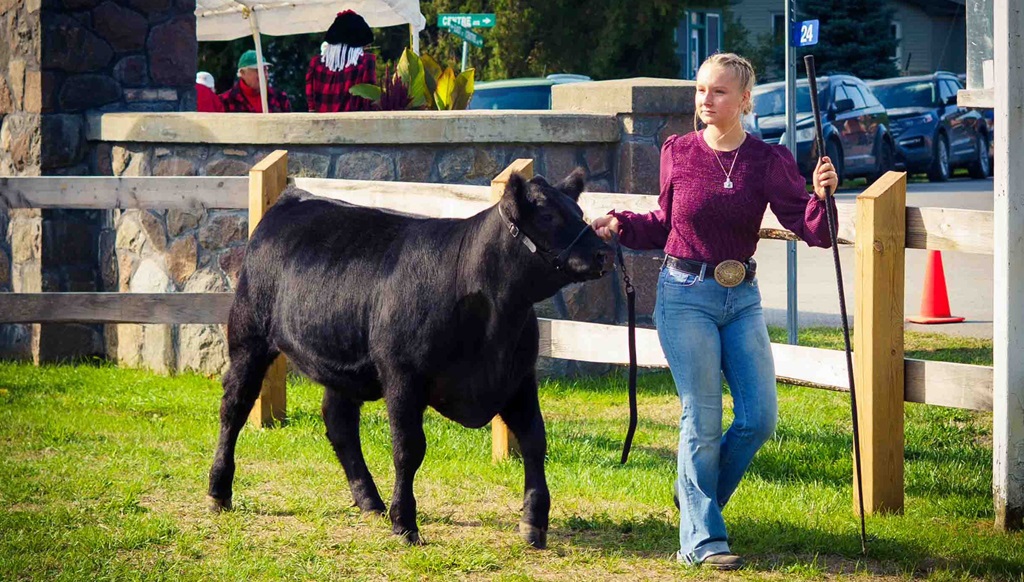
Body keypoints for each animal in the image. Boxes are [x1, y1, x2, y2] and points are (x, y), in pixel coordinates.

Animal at [207, 169, 613, 549]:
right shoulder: (403, 377)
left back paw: (370, 501)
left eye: (578, 210)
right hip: (248, 337)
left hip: (340, 360)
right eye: (547, 214)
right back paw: (219, 491)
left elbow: (534, 441)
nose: (603, 253)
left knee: (339, 422)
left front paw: (534, 521)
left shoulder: (519, 378)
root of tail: (292, 198)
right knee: (234, 408)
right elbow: (409, 449)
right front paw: (405, 522)